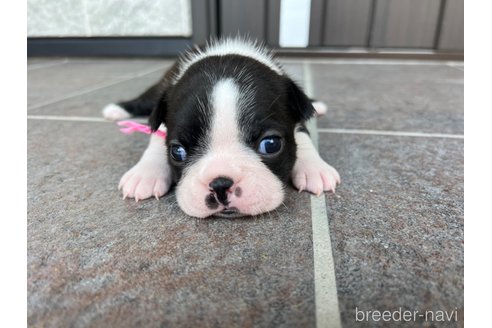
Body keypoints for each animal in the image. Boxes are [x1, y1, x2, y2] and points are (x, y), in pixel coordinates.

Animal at [102, 37, 340, 218]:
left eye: (271, 145)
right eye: (177, 152)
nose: (220, 184)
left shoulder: (296, 117)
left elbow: (303, 134)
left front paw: (314, 168)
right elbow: (155, 136)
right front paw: (145, 173)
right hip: (159, 89)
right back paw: (117, 109)